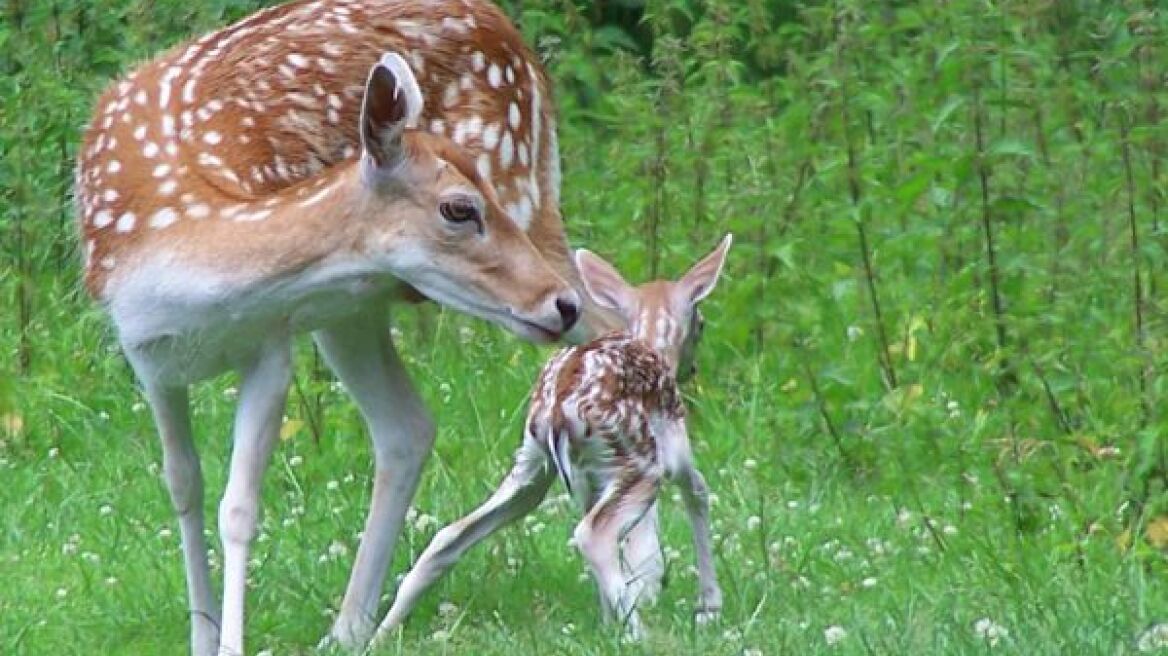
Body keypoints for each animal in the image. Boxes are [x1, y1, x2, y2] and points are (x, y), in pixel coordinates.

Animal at [77, 1, 616, 653]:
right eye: (459, 208)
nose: (556, 304)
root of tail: (506, 29)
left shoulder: (271, 343)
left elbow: (239, 508)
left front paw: (229, 641)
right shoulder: (149, 356)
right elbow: (184, 485)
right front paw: (202, 636)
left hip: (529, 201)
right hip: (351, 308)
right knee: (407, 426)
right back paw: (354, 625)